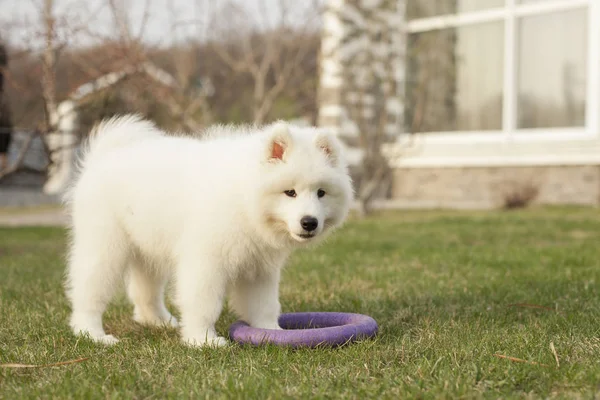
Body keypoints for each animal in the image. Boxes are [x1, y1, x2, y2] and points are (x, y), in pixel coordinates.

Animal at [64, 114, 356, 346]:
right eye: (290, 192)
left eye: (321, 193)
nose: (309, 222)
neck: (244, 196)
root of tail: (104, 156)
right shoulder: (206, 261)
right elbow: (203, 303)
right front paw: (202, 341)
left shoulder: (258, 267)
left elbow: (264, 304)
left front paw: (272, 332)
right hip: (105, 245)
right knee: (88, 289)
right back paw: (93, 334)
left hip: (147, 247)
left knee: (144, 290)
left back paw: (159, 321)